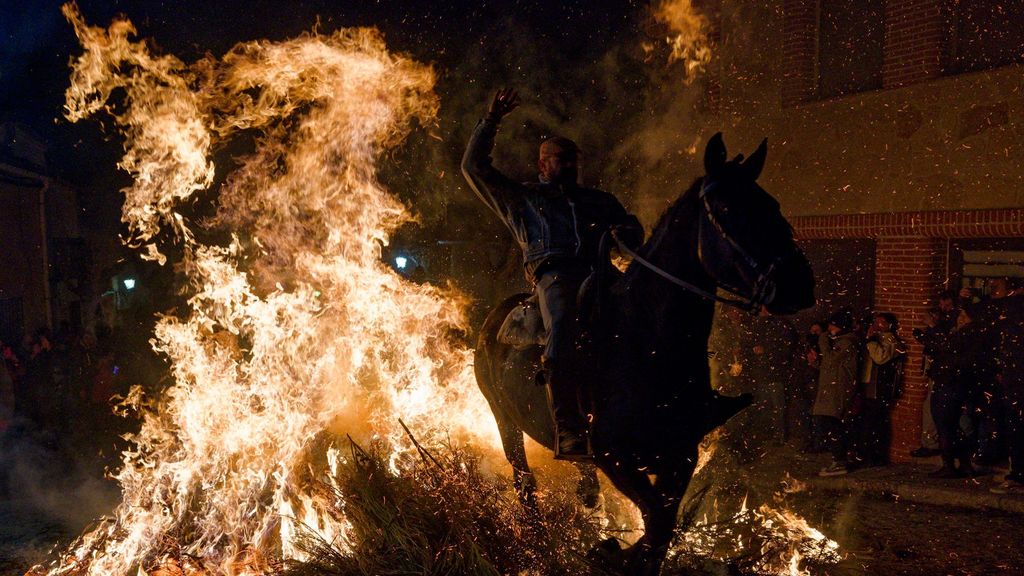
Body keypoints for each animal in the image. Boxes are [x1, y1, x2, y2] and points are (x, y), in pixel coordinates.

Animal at [471, 132, 815, 569]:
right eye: (726, 209)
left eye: (772, 205)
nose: (799, 284)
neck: (646, 342)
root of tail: (498, 315)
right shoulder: (616, 457)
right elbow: (656, 524)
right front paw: (609, 553)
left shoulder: (680, 455)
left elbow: (660, 530)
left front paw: (614, 552)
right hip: (504, 421)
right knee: (525, 485)